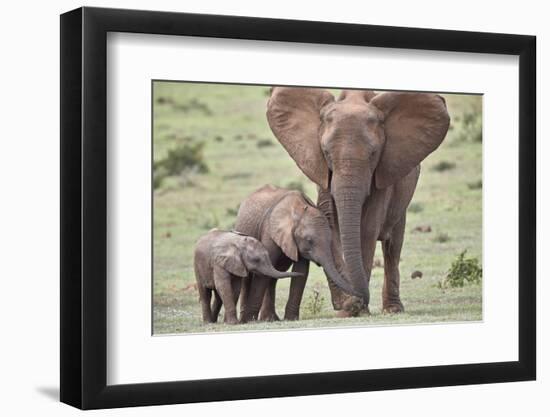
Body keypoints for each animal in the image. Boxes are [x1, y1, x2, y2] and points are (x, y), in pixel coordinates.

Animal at [268, 88, 452, 316]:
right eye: (326, 152)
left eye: (373, 154)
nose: (353, 301)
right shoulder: (322, 172)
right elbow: (329, 222)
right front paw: (347, 308)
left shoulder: (383, 171)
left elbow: (367, 228)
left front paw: (356, 309)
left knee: (393, 245)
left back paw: (393, 309)